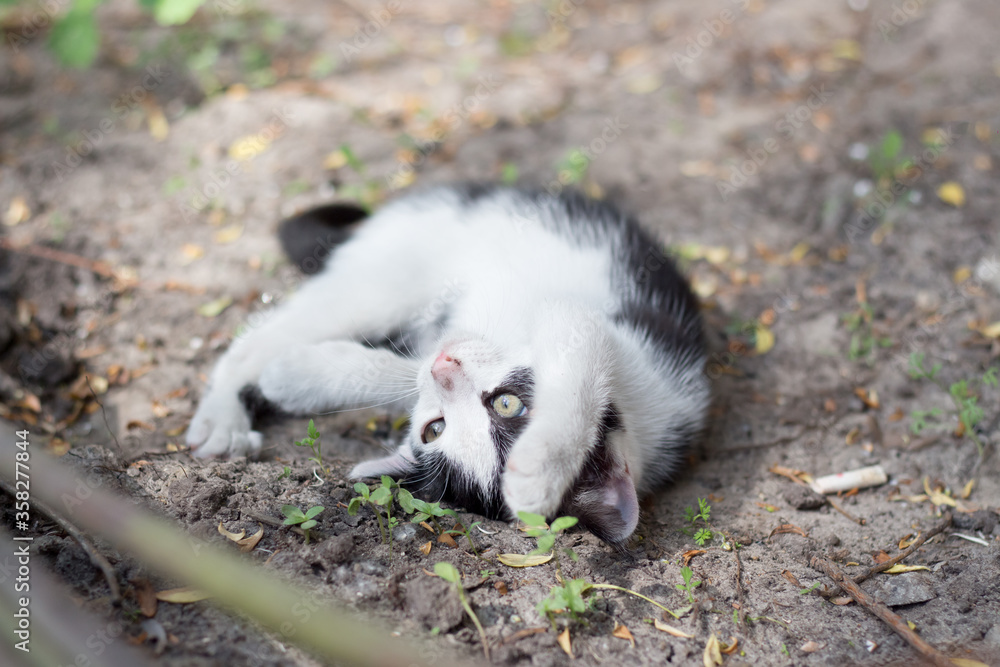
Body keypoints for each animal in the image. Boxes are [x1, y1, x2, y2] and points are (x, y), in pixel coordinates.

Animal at [184, 184, 708, 544]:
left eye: (433, 429)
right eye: (510, 404)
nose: (446, 366)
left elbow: (412, 373)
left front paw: (537, 474)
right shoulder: (592, 326)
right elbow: (577, 373)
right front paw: (298, 376)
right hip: (388, 275)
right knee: (264, 334)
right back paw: (223, 417)